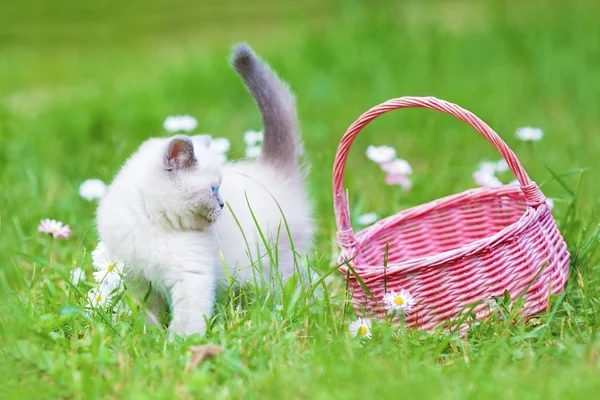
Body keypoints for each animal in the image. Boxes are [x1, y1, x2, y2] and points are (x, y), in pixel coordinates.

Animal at [97, 43, 314, 338]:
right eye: (213, 189)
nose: (223, 205)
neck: (151, 222)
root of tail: (274, 168)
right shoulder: (138, 279)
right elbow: (147, 315)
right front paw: (147, 337)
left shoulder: (190, 277)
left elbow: (186, 321)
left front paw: (178, 344)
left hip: (279, 265)